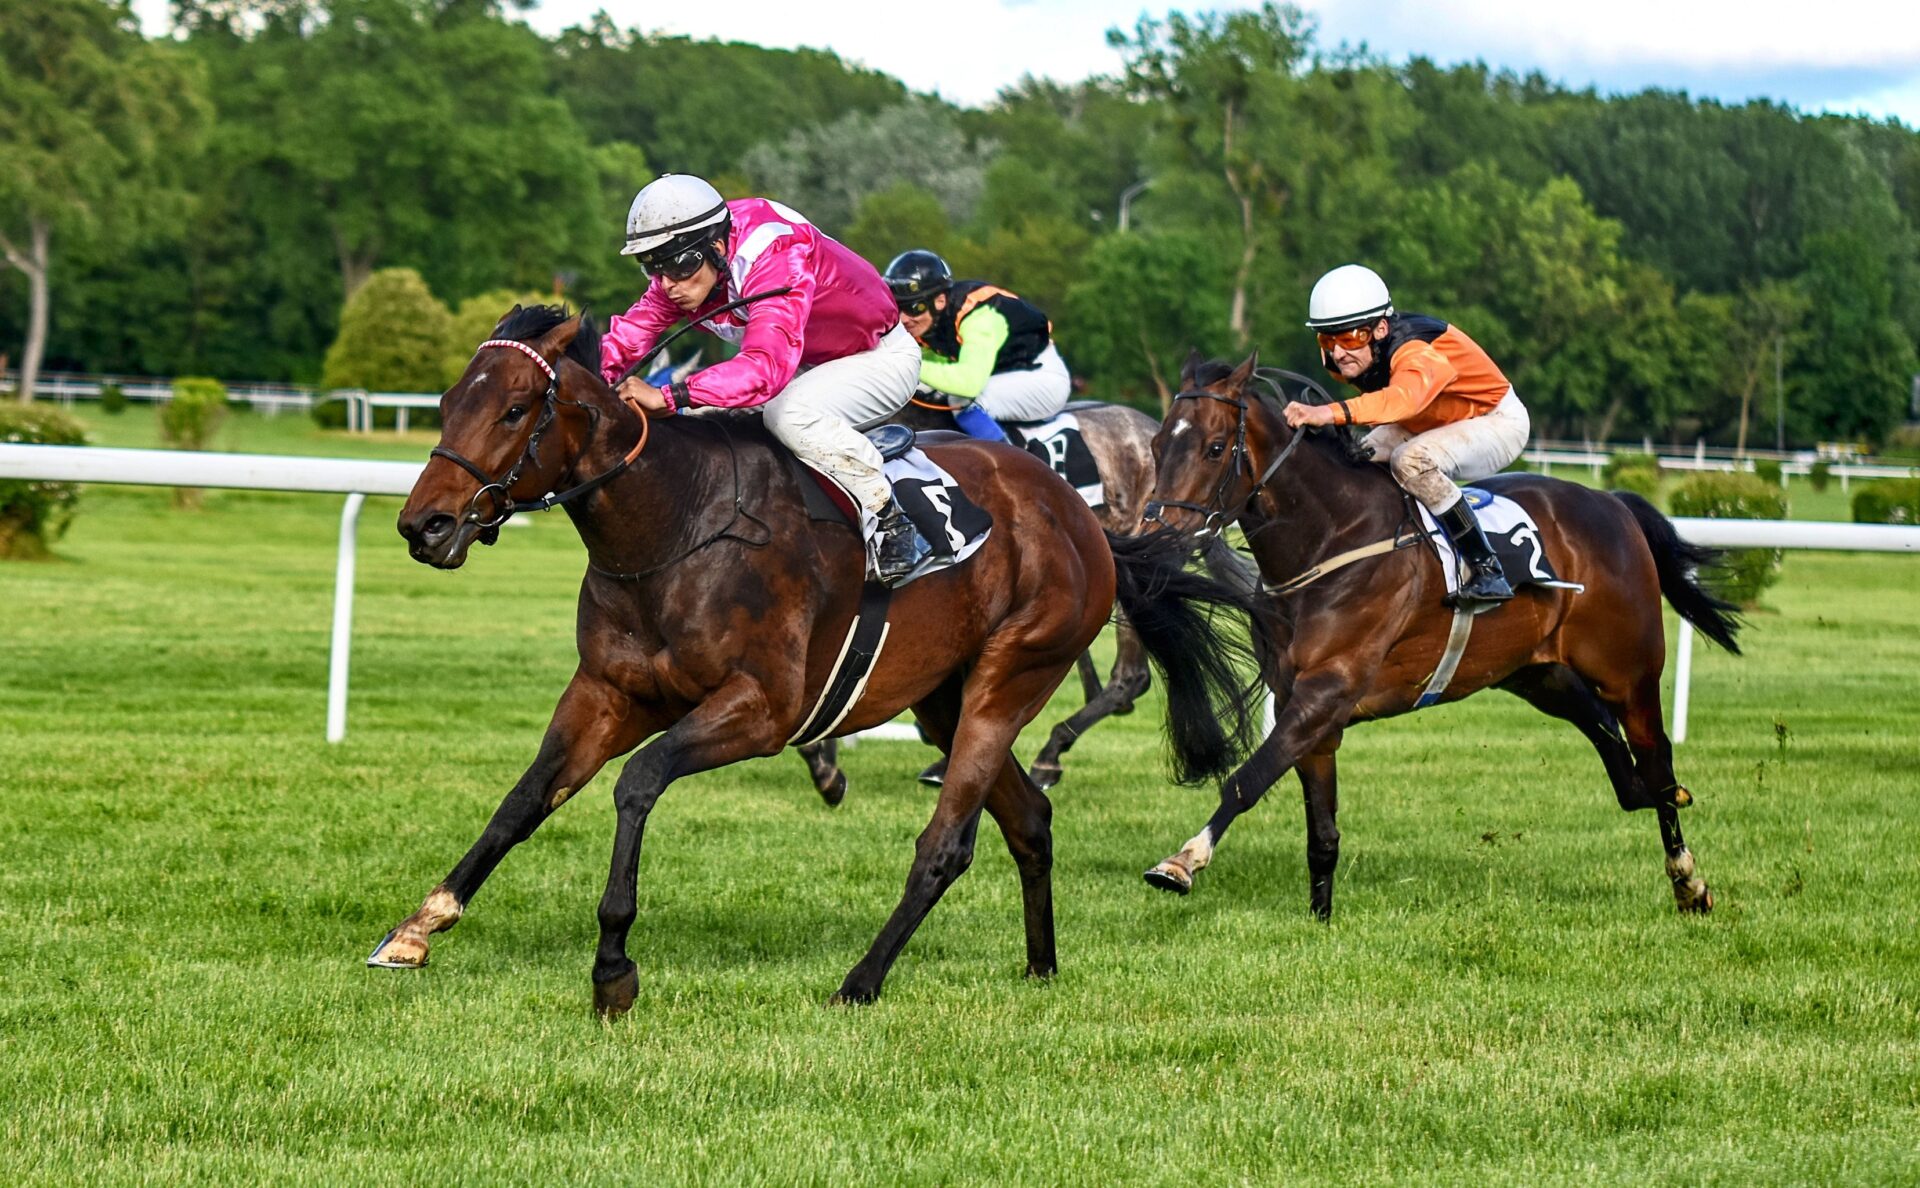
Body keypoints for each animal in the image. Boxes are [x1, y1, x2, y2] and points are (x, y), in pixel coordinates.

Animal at [366, 307, 1267, 1013]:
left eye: (516, 408)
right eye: (449, 402)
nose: (424, 526)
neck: (677, 524)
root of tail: (1082, 520)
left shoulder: (762, 708)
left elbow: (638, 783)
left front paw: (614, 968)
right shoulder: (608, 692)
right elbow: (523, 800)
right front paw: (418, 927)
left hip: (1010, 676)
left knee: (950, 842)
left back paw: (860, 981)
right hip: (945, 697)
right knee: (1029, 820)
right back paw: (1040, 965)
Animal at [1136, 353, 1743, 921]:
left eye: (1215, 448)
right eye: (1157, 445)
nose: (1159, 532)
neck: (1332, 539)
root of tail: (1615, 504)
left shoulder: (1327, 692)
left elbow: (1247, 779)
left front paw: (1181, 862)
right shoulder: (1304, 706)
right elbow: (1322, 831)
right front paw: (1320, 921)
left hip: (1628, 670)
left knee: (1656, 762)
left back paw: (1689, 882)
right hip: (1538, 674)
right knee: (1617, 754)